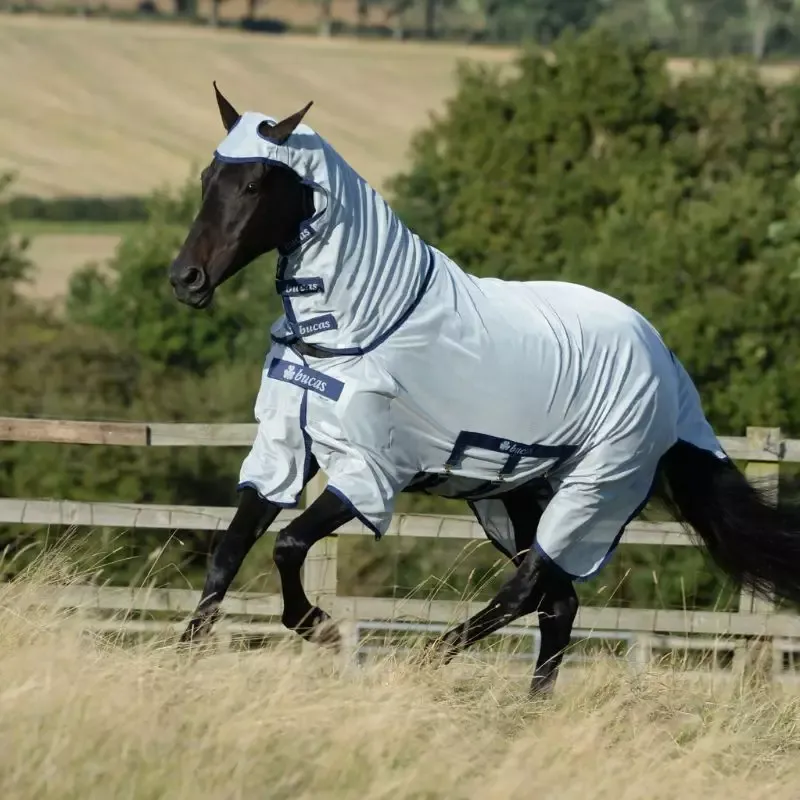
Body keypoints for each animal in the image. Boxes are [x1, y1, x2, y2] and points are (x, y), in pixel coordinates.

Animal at [168, 83, 800, 697]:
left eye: (253, 184)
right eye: (207, 179)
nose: (185, 279)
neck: (356, 330)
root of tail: (666, 362)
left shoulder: (371, 470)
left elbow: (287, 546)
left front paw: (318, 627)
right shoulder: (285, 451)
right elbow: (228, 553)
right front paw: (183, 658)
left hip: (594, 491)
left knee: (528, 589)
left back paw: (426, 660)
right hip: (514, 495)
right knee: (557, 602)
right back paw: (530, 707)